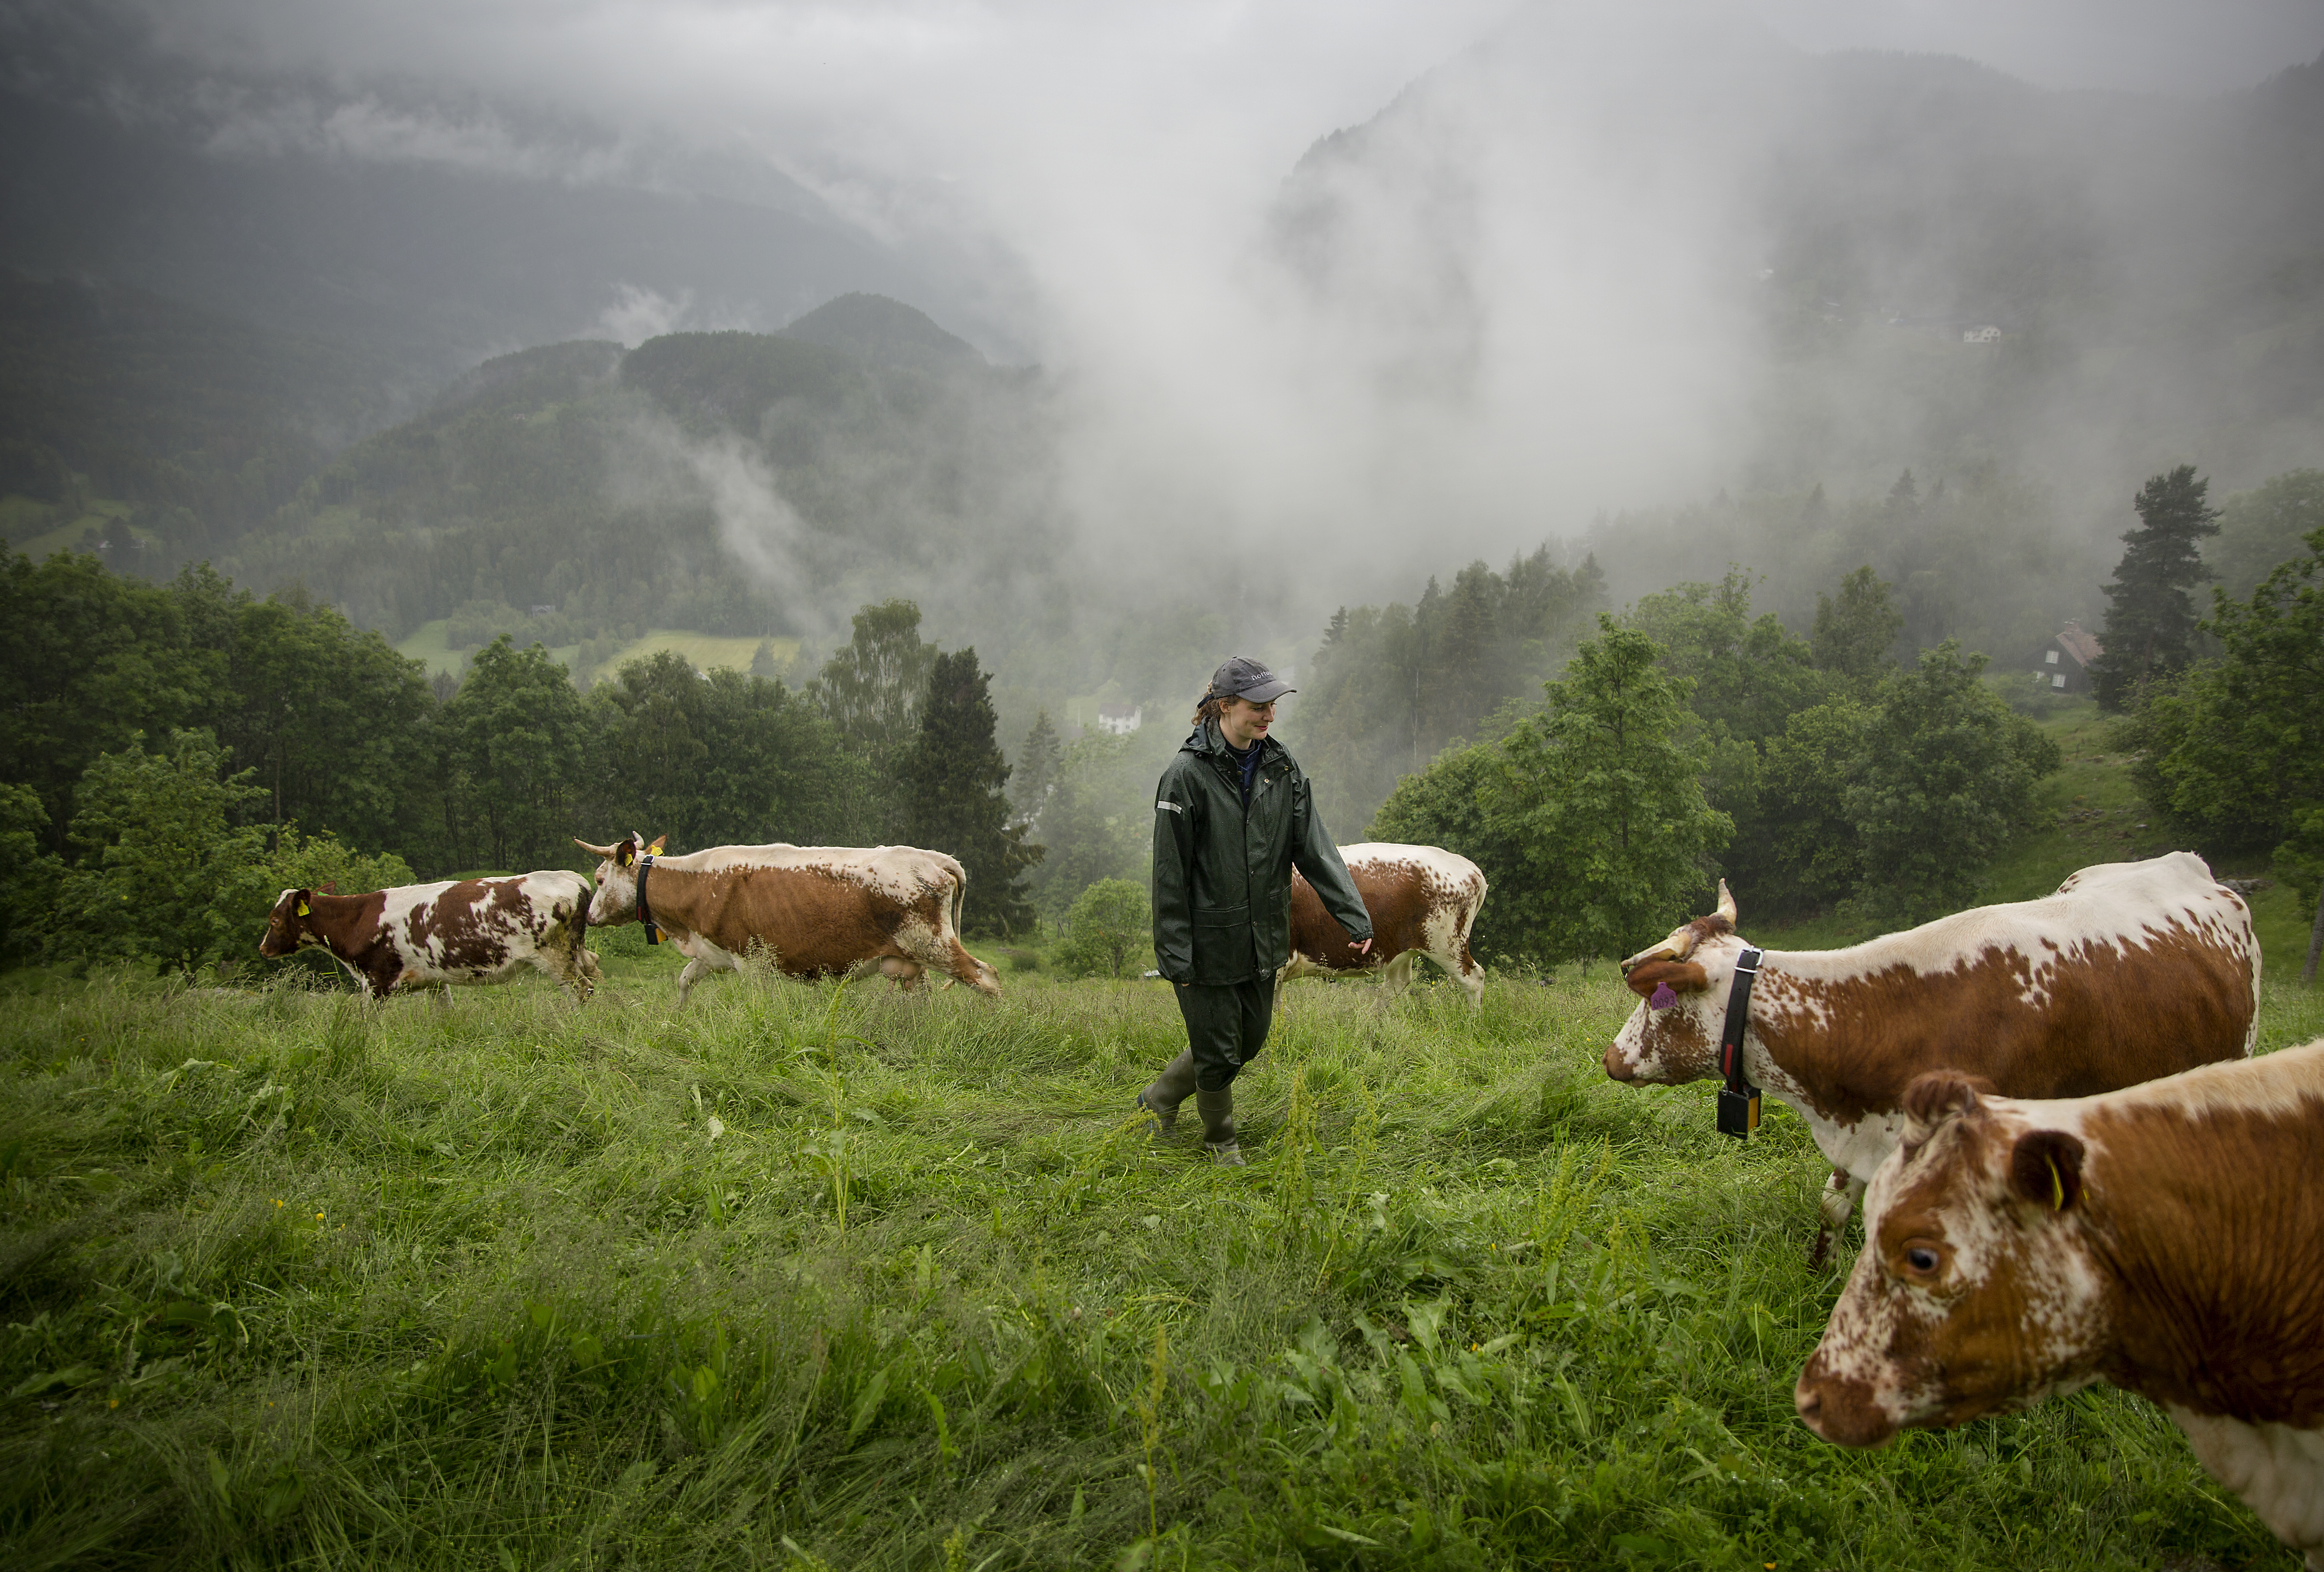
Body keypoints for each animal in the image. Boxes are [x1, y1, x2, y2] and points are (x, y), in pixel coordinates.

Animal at [260, 865, 600, 1000]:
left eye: (274, 920)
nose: (263, 949)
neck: (358, 918)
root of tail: (572, 878)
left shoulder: (375, 982)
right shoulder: (434, 982)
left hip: (555, 959)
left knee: (582, 990)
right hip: (576, 954)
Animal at [576, 837, 1004, 1009]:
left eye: (600, 879)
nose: (591, 917)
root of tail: (934, 858)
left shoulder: (752, 961)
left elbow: (758, 1003)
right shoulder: (710, 952)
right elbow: (684, 981)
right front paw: (678, 1019)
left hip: (933, 944)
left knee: (987, 978)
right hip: (913, 960)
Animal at [1273, 846, 1487, 1009]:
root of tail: (1469, 867)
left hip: (1446, 943)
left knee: (1474, 978)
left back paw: (1472, 1021)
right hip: (1405, 947)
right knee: (1397, 983)